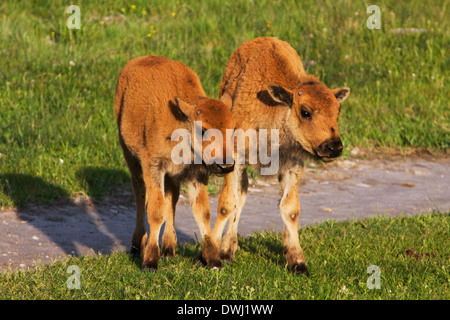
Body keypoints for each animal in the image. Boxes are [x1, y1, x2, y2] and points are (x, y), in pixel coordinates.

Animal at [115, 55, 236, 270]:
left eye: (233, 128)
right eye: (203, 129)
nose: (226, 166)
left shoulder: (196, 173)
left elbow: (202, 211)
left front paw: (213, 260)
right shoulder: (154, 167)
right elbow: (156, 211)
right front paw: (150, 261)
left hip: (172, 175)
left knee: (171, 200)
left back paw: (169, 249)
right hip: (131, 157)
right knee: (140, 196)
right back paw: (138, 246)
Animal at [212, 36, 352, 274]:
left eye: (337, 112)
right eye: (305, 112)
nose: (334, 147)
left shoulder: (292, 165)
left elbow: (290, 209)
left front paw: (297, 262)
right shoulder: (236, 158)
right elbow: (228, 203)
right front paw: (216, 255)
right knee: (240, 197)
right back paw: (227, 249)